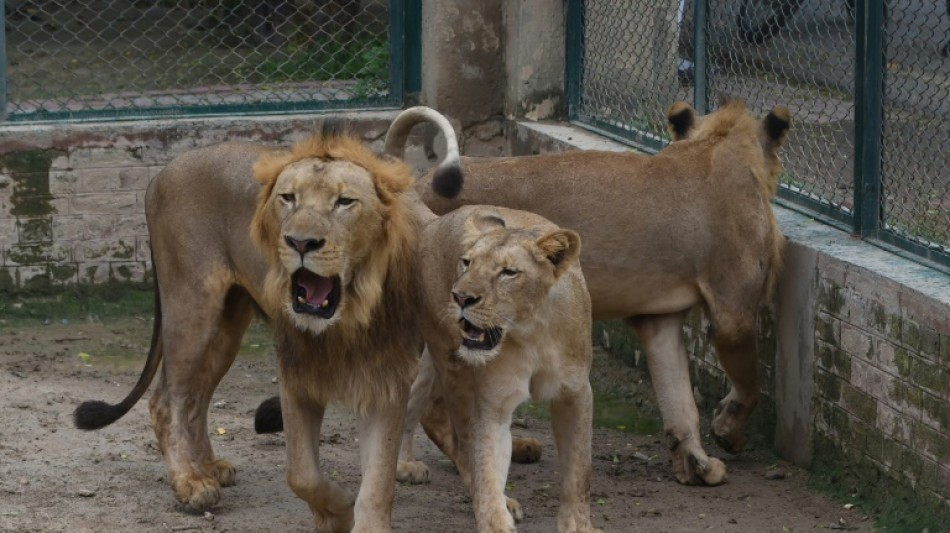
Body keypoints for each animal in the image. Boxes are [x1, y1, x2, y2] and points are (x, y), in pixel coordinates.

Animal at [73, 115, 458, 528]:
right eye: (287, 198)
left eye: (345, 202)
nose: (300, 242)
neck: (349, 315)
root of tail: (161, 174)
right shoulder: (296, 371)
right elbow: (303, 474)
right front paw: (336, 511)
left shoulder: (386, 378)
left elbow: (378, 481)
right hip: (191, 304)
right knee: (166, 399)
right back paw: (191, 482)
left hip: (227, 324)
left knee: (196, 395)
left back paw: (209, 466)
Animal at [384, 101, 792, 486]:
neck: (719, 144)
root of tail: (416, 185)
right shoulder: (733, 314)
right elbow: (749, 384)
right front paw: (728, 432)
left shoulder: (658, 320)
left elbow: (679, 398)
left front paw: (695, 463)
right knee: (427, 401)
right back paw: (415, 466)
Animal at [402, 206, 604, 532]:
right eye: (467, 262)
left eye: (508, 272)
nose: (461, 297)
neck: (533, 332)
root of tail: (437, 219)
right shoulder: (493, 402)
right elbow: (486, 461)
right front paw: (495, 519)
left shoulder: (576, 393)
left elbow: (579, 470)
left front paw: (579, 525)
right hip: (450, 362)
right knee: (458, 437)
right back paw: (406, 466)